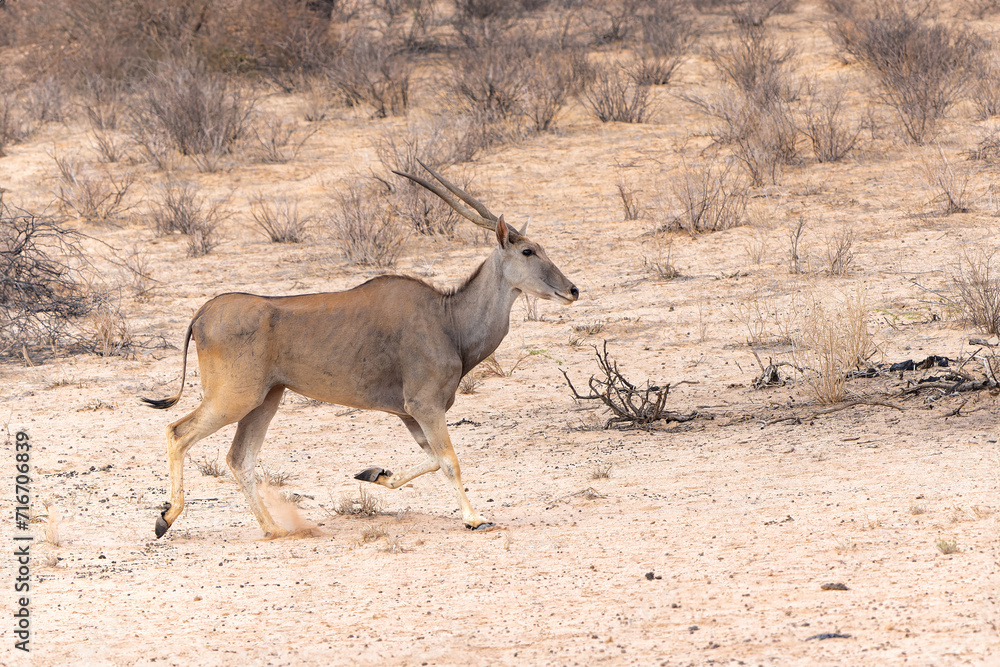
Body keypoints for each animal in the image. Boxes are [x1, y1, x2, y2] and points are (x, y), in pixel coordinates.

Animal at [142, 161, 579, 539]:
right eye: (527, 251)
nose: (572, 290)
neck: (448, 318)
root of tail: (203, 313)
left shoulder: (409, 414)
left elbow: (433, 459)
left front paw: (374, 474)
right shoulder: (425, 406)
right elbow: (449, 461)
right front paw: (474, 518)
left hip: (266, 400)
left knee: (239, 458)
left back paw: (274, 529)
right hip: (235, 399)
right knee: (178, 432)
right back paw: (167, 517)